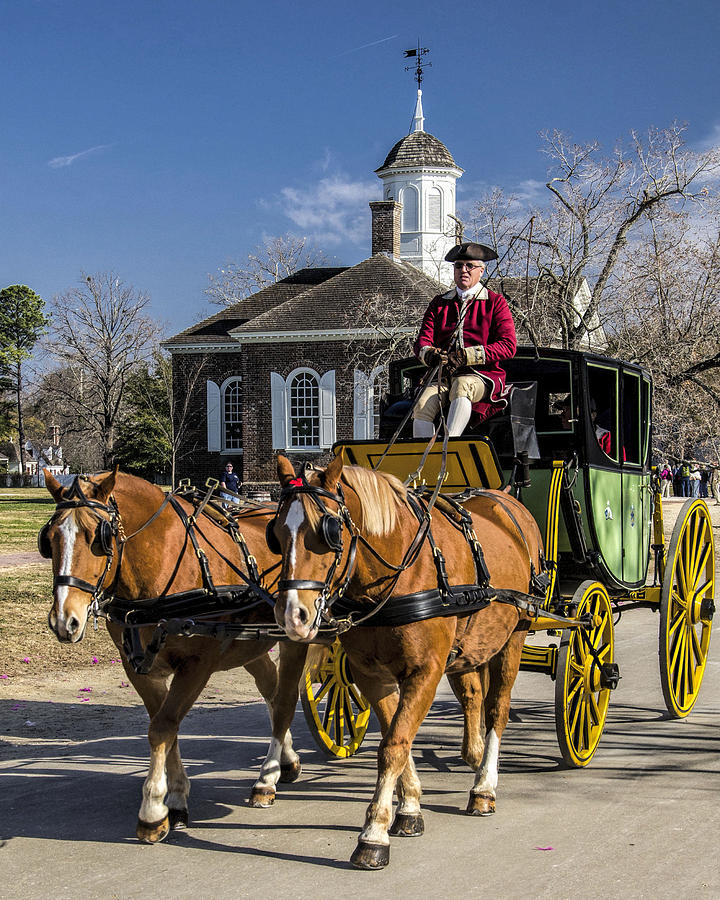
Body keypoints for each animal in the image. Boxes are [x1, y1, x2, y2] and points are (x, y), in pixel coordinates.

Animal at [42, 472, 306, 844]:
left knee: (284, 700)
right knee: (271, 689)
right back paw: (287, 760)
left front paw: (153, 810)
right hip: (247, 644)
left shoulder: (197, 665)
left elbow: (163, 726)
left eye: (99, 538)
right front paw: (177, 797)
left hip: (297, 634)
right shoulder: (139, 668)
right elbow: (167, 727)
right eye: (49, 539)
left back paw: (265, 780)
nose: (65, 620)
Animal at [272, 454, 544, 868]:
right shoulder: (371, 674)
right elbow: (395, 736)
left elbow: (394, 746)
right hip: (472, 645)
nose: (292, 615)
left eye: (328, 531)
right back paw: (474, 755)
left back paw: (485, 785)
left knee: (498, 707)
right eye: (275, 533)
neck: (397, 572)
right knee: (473, 696)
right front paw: (410, 807)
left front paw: (374, 833)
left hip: (515, 634)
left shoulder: (425, 672)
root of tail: (506, 498)